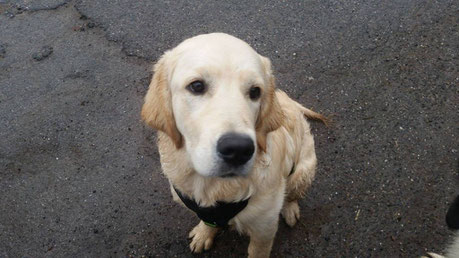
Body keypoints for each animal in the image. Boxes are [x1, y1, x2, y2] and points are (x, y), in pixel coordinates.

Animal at [140, 33, 328, 256]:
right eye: (197, 86)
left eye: (255, 91)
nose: (238, 150)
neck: (216, 188)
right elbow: (207, 221)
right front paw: (204, 233)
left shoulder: (264, 227)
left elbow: (258, 251)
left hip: (304, 171)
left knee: (292, 194)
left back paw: (290, 209)